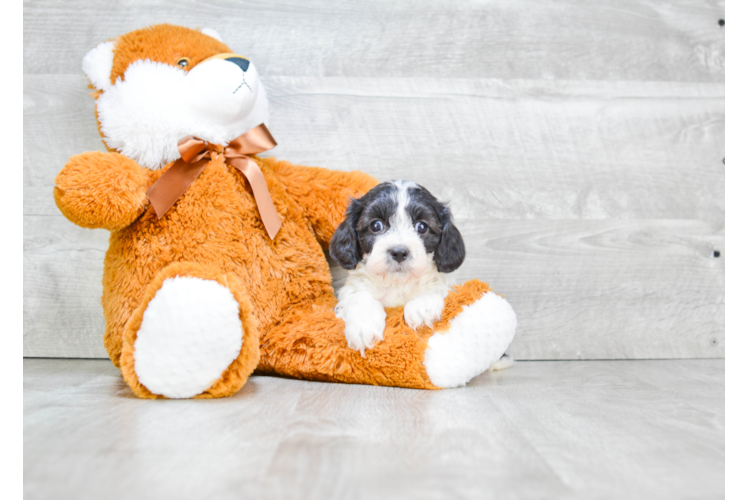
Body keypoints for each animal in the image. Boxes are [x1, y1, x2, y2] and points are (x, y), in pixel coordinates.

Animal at [330, 180, 464, 356]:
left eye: (422, 227)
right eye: (376, 225)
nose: (399, 252)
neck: (397, 281)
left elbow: (435, 285)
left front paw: (422, 306)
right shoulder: (353, 287)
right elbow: (360, 296)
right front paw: (363, 326)